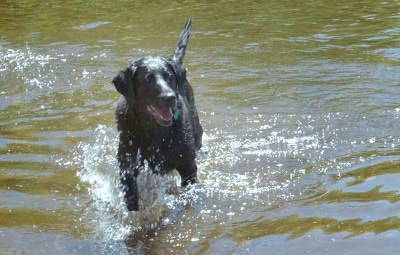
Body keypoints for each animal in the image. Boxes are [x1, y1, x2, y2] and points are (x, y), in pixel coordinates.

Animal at [111, 16, 202, 211]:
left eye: (169, 76)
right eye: (147, 79)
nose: (170, 97)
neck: (153, 131)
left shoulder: (188, 168)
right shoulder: (127, 166)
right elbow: (131, 199)